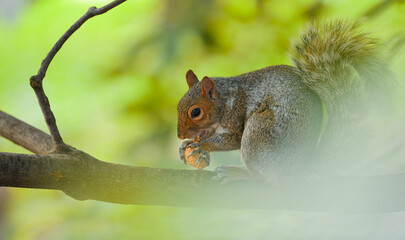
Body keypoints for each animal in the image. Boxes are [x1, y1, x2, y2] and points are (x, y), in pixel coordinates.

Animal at [175, 19, 390, 183]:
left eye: (196, 112)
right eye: (178, 106)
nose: (179, 135)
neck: (225, 99)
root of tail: (296, 170)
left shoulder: (235, 113)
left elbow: (232, 139)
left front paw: (203, 146)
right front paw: (186, 146)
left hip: (260, 130)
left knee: (266, 178)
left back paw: (240, 174)